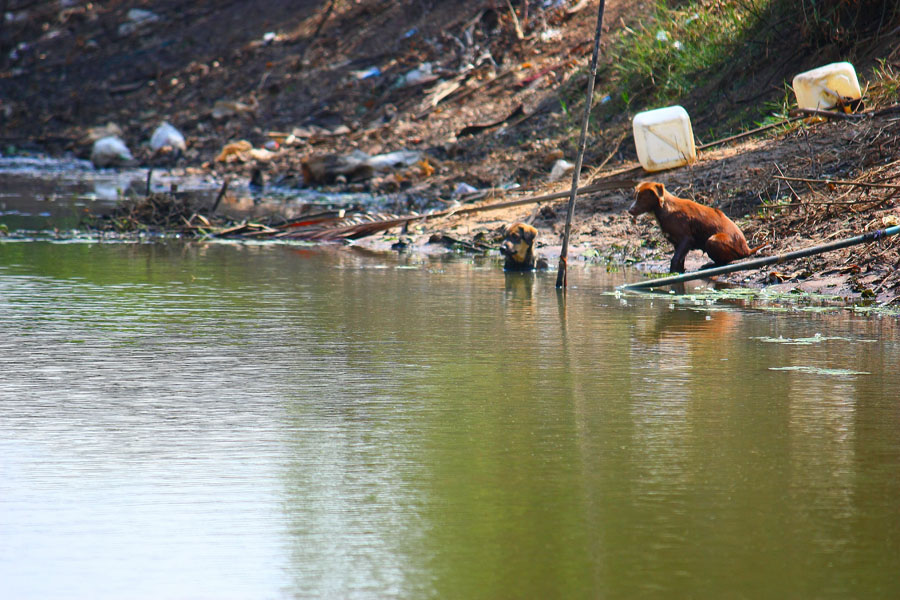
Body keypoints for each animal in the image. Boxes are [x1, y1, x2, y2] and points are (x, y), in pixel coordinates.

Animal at [632, 182, 760, 274]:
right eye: (635, 197)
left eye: (641, 198)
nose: (630, 210)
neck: (664, 208)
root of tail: (746, 248)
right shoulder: (677, 243)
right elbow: (680, 259)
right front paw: (679, 272)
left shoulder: (686, 239)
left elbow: (675, 259)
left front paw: (672, 273)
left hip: (712, 240)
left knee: (725, 260)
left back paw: (711, 265)